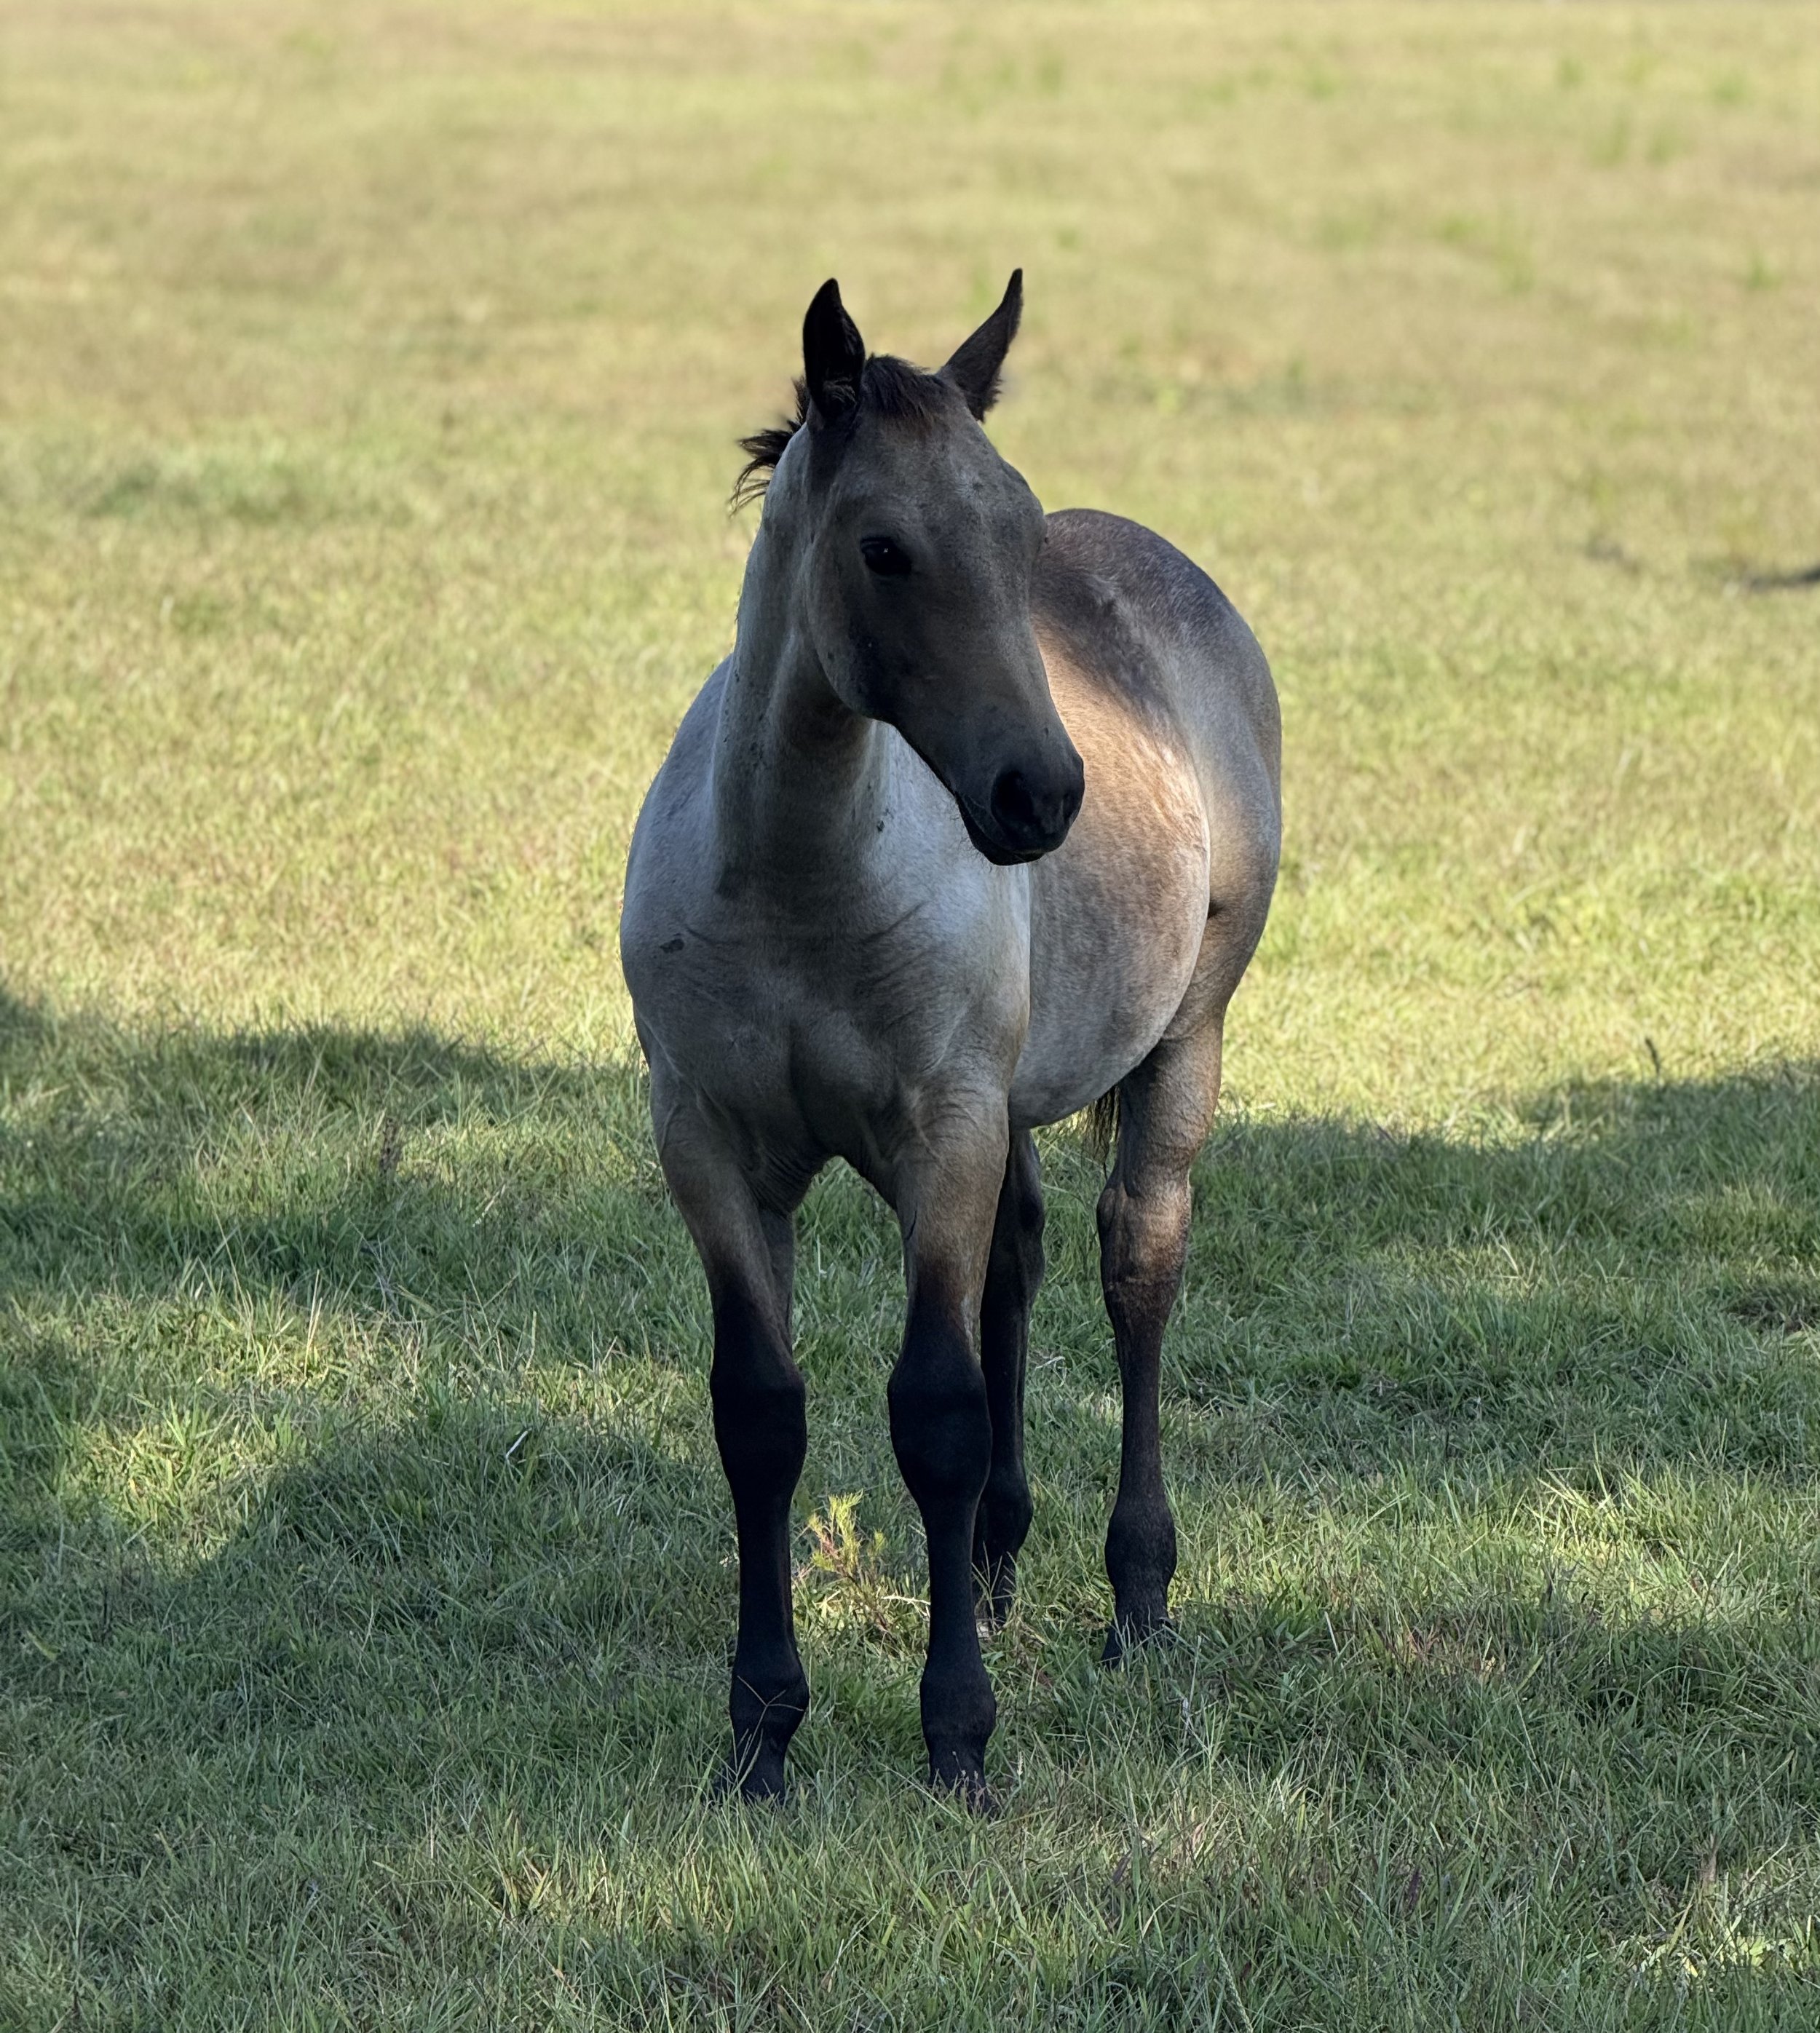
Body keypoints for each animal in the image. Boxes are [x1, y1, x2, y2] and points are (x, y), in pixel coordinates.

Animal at [621, 272, 1280, 1806]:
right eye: (885, 548)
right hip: (1014, 1104)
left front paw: (958, 1734)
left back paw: (1136, 1597)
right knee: (1019, 1272)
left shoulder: (944, 1126)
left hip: (1185, 1041)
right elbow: (761, 1415)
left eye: (1018, 535)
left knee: (1136, 1266)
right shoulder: (710, 1144)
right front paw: (762, 1731)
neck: (795, 881)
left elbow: (936, 1410)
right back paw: (992, 1565)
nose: (1040, 793)